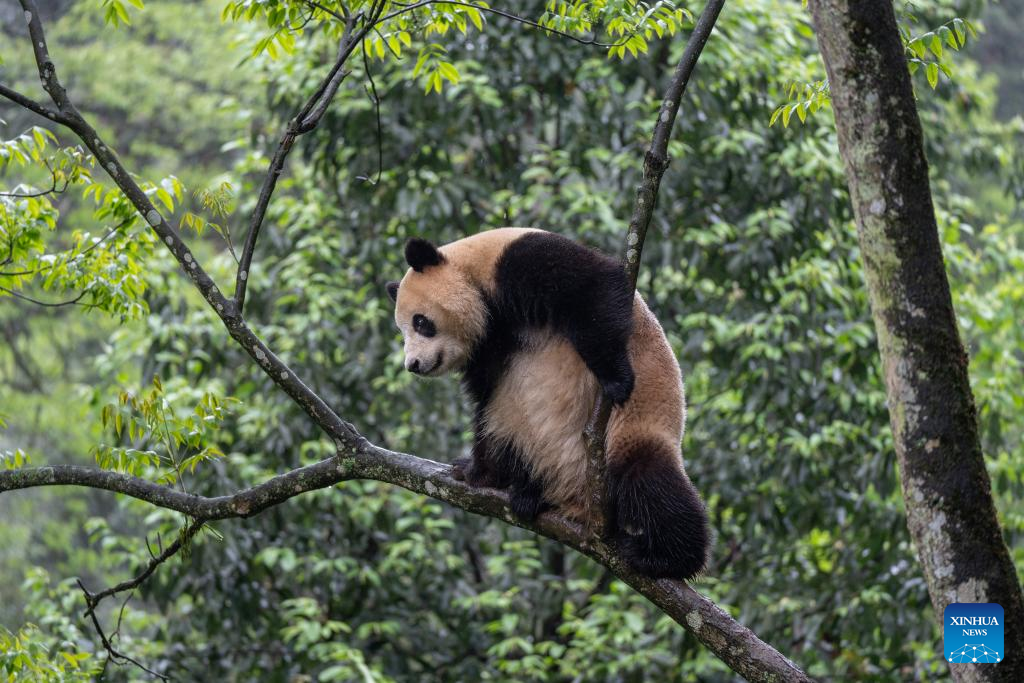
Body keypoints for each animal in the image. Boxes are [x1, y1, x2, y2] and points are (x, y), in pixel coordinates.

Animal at [385, 228, 712, 577]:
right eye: (402, 331)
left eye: (420, 322)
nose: (413, 365)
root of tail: (580, 504)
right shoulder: (488, 347)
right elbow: (485, 402)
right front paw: (474, 470)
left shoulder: (519, 262)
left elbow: (594, 290)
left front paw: (616, 379)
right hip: (524, 435)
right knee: (505, 432)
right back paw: (523, 490)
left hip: (631, 431)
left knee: (651, 482)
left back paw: (664, 557)